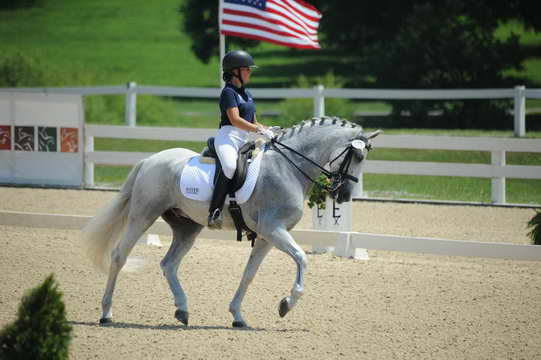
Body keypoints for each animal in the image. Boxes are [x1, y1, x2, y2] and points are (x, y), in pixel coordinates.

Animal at [83, 116, 380, 328]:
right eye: (358, 156)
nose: (344, 195)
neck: (289, 167)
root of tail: (149, 160)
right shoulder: (274, 230)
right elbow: (302, 258)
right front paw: (287, 303)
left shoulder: (266, 236)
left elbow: (249, 274)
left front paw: (238, 316)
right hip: (143, 215)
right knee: (119, 255)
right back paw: (107, 313)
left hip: (187, 226)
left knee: (169, 264)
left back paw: (182, 310)